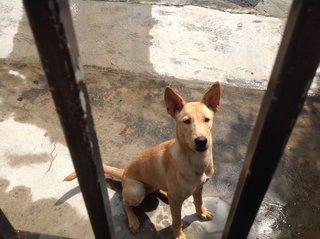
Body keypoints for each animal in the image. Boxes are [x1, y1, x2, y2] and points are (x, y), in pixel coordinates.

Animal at [64, 82, 220, 239]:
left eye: (207, 119)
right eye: (186, 121)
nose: (201, 141)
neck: (196, 161)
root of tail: (124, 172)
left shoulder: (199, 187)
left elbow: (198, 201)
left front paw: (201, 213)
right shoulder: (176, 203)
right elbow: (176, 221)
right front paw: (178, 235)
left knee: (157, 189)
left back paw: (164, 193)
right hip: (136, 191)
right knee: (125, 202)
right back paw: (133, 220)